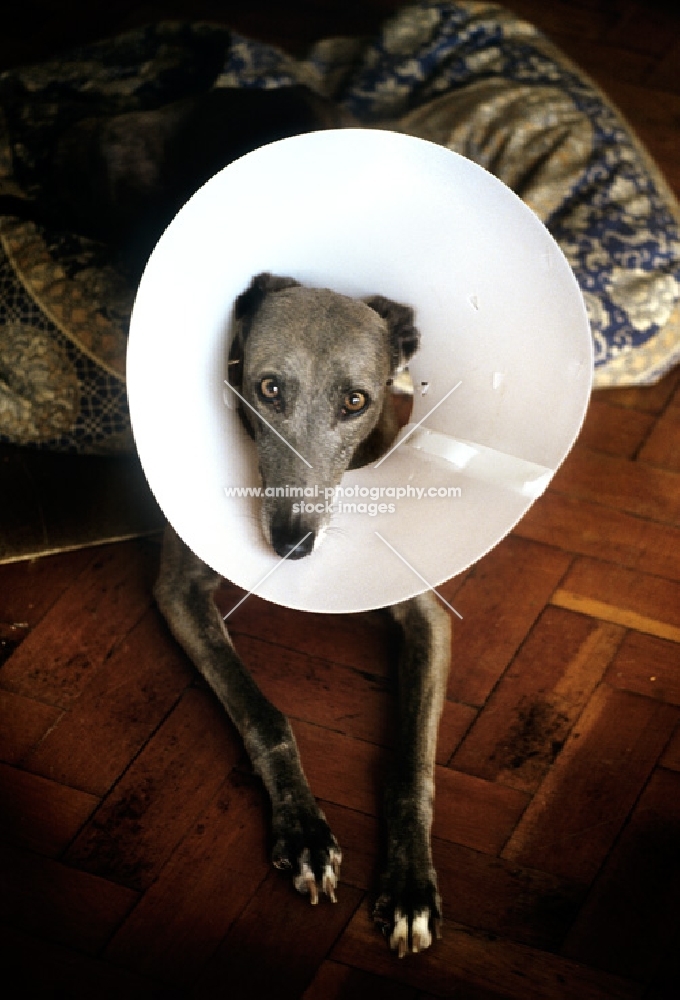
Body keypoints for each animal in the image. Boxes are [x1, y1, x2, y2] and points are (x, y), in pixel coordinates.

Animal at [155, 270, 452, 956]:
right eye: (268, 388)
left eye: (355, 401)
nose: (292, 543)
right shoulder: (180, 589)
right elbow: (265, 716)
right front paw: (305, 834)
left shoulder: (428, 615)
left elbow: (414, 761)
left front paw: (411, 885)